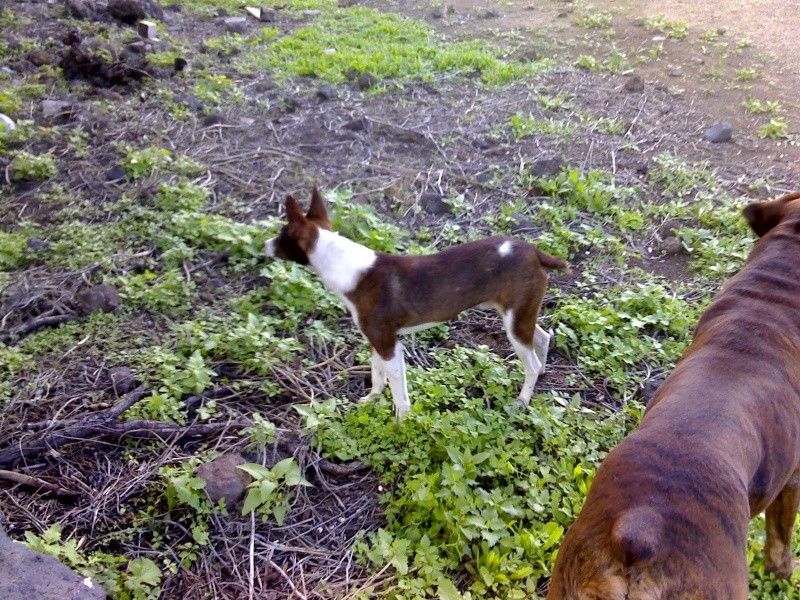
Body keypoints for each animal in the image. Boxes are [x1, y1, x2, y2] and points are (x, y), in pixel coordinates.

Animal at [266, 188, 564, 418]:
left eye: (282, 234)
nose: (265, 244)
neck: (345, 264)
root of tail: (535, 252)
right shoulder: (378, 342)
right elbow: (377, 376)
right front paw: (372, 400)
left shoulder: (388, 346)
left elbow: (399, 392)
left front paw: (401, 421)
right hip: (519, 314)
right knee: (542, 337)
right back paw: (542, 371)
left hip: (514, 321)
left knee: (530, 363)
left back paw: (523, 399)